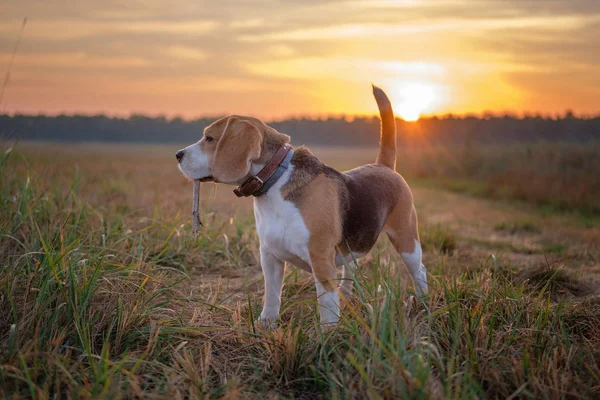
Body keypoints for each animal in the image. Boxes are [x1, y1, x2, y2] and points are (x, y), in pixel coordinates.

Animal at [176, 86, 428, 326]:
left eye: (209, 139)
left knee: (419, 271)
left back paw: (423, 303)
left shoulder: (321, 260)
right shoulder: (269, 256)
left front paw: (328, 334)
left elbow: (327, 305)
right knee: (351, 270)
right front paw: (265, 324)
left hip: (407, 240)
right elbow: (271, 295)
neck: (275, 180)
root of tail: (383, 166)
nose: (178, 154)